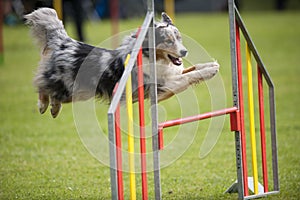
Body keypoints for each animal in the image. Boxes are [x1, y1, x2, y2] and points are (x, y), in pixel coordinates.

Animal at [24, 8, 219, 117]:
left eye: (179, 38)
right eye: (168, 41)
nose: (184, 51)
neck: (152, 57)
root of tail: (64, 42)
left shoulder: (171, 76)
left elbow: (194, 69)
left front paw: (212, 66)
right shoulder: (164, 86)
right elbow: (190, 76)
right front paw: (210, 70)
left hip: (77, 92)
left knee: (52, 93)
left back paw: (53, 109)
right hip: (68, 86)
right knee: (42, 85)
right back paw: (43, 106)